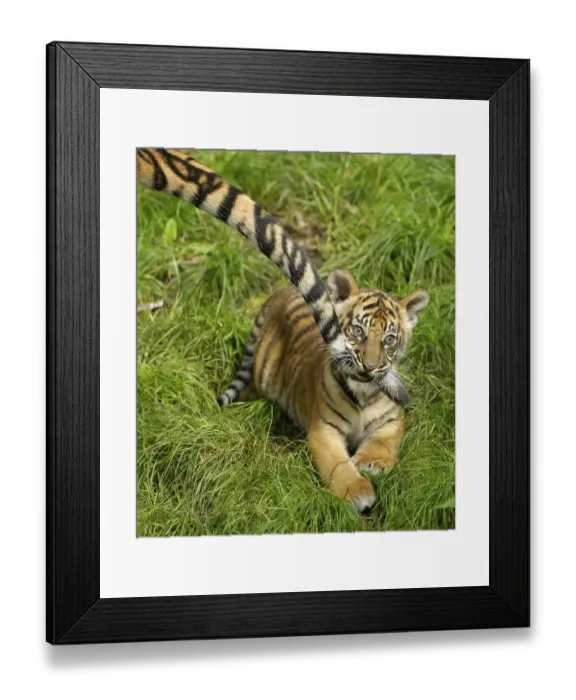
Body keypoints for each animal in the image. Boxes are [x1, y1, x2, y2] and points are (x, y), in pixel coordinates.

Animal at [137, 148, 428, 512]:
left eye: (389, 339)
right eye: (357, 331)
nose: (370, 367)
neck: (363, 395)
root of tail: (279, 293)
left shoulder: (391, 422)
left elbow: (383, 444)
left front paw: (371, 462)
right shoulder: (323, 430)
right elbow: (338, 466)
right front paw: (358, 491)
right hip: (263, 374)